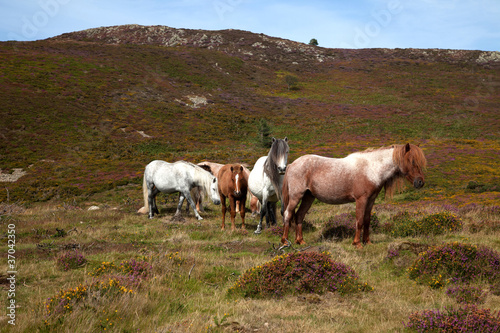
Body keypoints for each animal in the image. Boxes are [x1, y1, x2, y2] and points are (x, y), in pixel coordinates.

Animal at [282, 142, 426, 246]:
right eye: (412, 161)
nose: (420, 182)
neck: (371, 168)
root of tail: (292, 164)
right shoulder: (361, 199)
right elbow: (359, 220)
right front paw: (357, 243)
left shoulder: (371, 200)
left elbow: (367, 220)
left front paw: (367, 242)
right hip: (296, 196)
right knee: (288, 214)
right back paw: (284, 241)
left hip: (308, 197)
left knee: (299, 215)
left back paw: (300, 241)